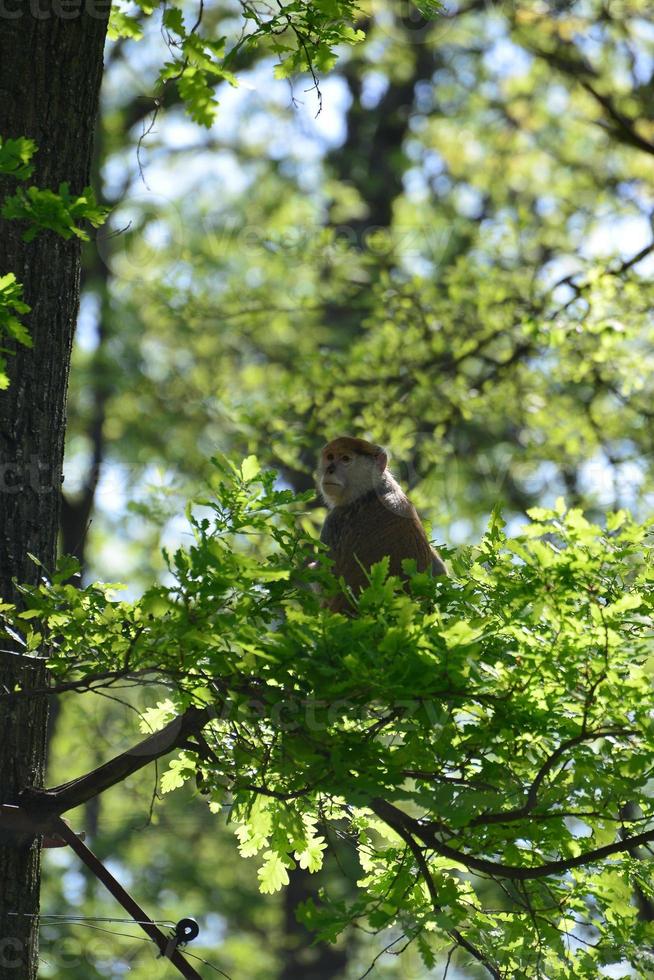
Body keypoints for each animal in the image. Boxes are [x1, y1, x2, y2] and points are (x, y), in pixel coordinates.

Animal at [316, 438, 446, 612]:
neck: (372, 489)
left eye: (345, 459)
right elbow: (440, 571)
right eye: (330, 457)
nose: (329, 470)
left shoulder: (335, 520)